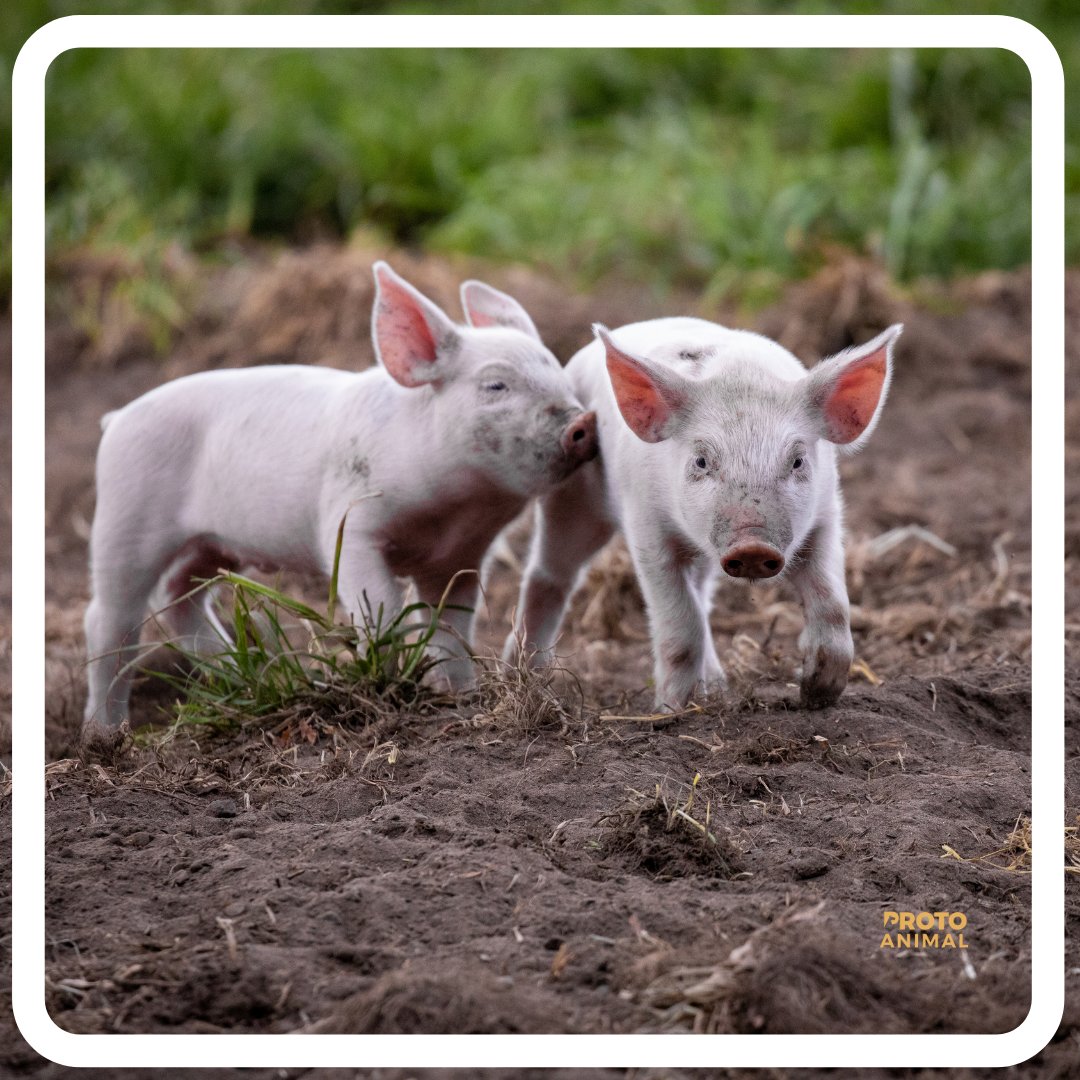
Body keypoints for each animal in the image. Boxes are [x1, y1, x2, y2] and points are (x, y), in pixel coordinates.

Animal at [83, 261, 597, 733]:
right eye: (495, 385)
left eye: (559, 374)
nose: (585, 421)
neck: (452, 512)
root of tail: (116, 418)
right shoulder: (351, 524)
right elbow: (381, 609)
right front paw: (392, 688)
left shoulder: (461, 554)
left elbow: (452, 623)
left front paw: (459, 693)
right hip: (125, 517)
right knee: (110, 619)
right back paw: (104, 736)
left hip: (207, 544)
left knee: (180, 597)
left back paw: (239, 675)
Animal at [505, 317, 901, 710]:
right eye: (701, 461)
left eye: (797, 461)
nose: (752, 546)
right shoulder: (647, 527)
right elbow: (681, 625)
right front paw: (670, 710)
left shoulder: (826, 517)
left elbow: (834, 605)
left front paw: (818, 694)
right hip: (572, 498)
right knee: (550, 575)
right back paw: (519, 672)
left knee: (700, 594)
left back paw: (717, 688)